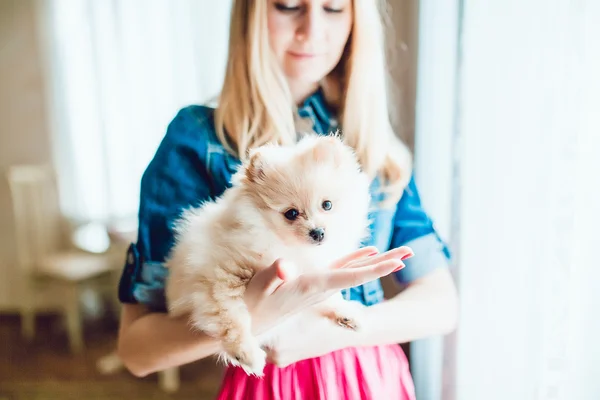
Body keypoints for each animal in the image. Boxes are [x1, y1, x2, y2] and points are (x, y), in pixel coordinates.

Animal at [164, 134, 370, 376]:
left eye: (327, 205)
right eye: (291, 213)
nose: (318, 232)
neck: (286, 246)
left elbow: (329, 296)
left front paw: (347, 313)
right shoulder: (220, 277)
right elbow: (230, 317)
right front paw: (245, 353)